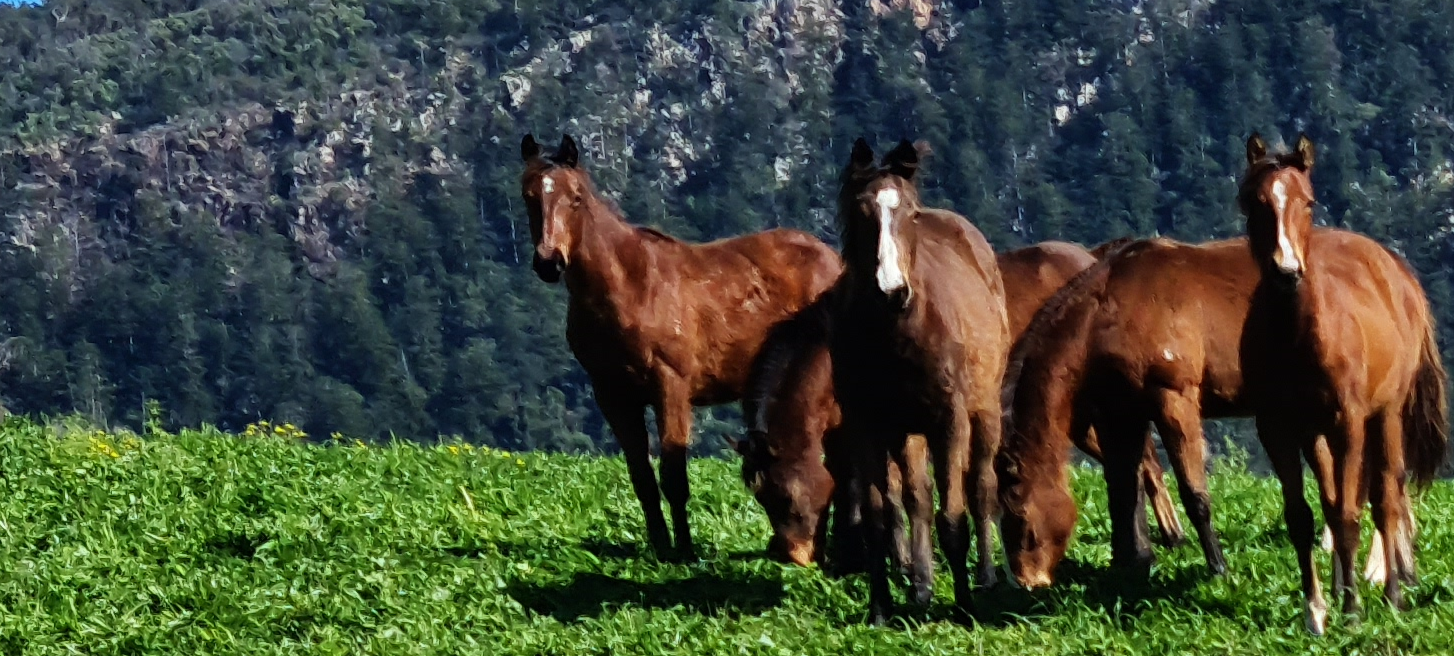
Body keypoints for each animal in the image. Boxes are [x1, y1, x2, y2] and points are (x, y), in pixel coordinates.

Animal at [518, 134, 842, 559]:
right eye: (529, 196)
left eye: (575, 197)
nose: (549, 262)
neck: (630, 285)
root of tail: (832, 258)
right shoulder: (613, 394)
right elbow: (641, 477)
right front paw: (660, 547)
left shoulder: (670, 386)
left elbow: (673, 476)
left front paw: (685, 551)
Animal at [734, 240, 1186, 569]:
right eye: (761, 498)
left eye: (782, 495)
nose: (792, 556)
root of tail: (1094, 262)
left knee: (1144, 460)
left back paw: (1171, 534)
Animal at [818, 137, 1010, 622]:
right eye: (861, 212)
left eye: (908, 213)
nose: (892, 291)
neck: (895, 335)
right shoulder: (866, 423)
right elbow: (879, 517)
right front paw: (881, 608)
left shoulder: (949, 420)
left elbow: (953, 517)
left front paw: (963, 607)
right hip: (904, 430)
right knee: (915, 498)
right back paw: (921, 585)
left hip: (984, 412)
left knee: (982, 488)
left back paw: (988, 576)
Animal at [1238, 133, 1445, 632]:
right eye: (1254, 202)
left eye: (1308, 201)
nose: (1286, 271)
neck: (1297, 338)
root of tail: (1398, 271)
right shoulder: (1277, 429)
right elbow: (1304, 516)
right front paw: (1316, 610)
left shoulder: (1347, 423)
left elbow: (1351, 514)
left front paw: (1352, 612)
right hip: (1316, 436)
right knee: (1334, 502)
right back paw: (1339, 589)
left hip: (1384, 417)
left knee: (1386, 497)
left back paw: (1391, 594)